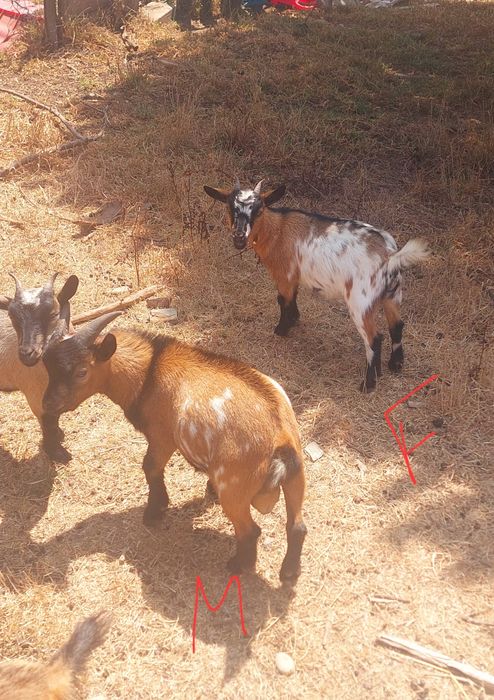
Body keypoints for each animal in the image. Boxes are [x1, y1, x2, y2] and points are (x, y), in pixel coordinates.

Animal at [0, 273, 79, 462]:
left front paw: (59, 436)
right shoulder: (36, 395)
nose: (27, 354)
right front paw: (56, 452)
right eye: (12, 317)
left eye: (53, 314)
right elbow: (48, 423)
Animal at [42, 313, 307, 583]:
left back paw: (238, 565)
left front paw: (154, 511)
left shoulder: (162, 437)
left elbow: (150, 467)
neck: (149, 373)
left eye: (82, 372)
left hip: (234, 487)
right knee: (297, 527)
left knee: (250, 531)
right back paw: (289, 572)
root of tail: (280, 438)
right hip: (297, 477)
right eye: (48, 368)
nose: (48, 404)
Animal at [204, 179, 431, 392]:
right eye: (229, 207)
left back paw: (368, 384)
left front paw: (281, 329)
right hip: (393, 294)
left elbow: (283, 301)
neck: (278, 229)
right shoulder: (294, 277)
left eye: (258, 210)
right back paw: (394, 365)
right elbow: (292, 299)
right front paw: (294, 320)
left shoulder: (285, 275)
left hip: (361, 301)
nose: (239, 236)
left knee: (374, 339)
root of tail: (390, 256)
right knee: (397, 326)